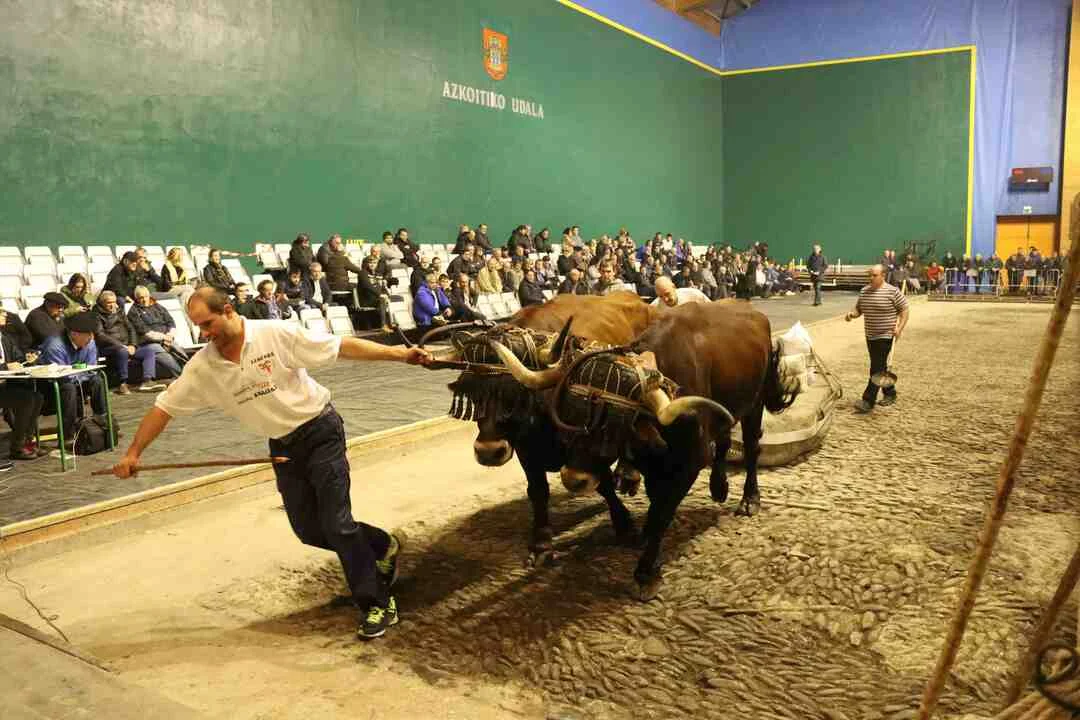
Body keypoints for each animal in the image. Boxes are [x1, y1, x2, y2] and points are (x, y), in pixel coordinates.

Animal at [420, 291, 654, 564]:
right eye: (473, 392)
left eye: (515, 392)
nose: (488, 452)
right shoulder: (526, 450)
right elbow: (538, 490)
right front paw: (541, 543)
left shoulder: (588, 444)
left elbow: (602, 482)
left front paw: (624, 526)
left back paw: (628, 476)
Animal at [490, 300, 798, 598]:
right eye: (570, 412)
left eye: (612, 425)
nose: (573, 478)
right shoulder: (651, 463)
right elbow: (652, 503)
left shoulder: (688, 464)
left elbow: (661, 512)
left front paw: (646, 571)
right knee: (722, 443)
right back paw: (719, 487)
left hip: (755, 405)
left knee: (751, 448)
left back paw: (749, 499)